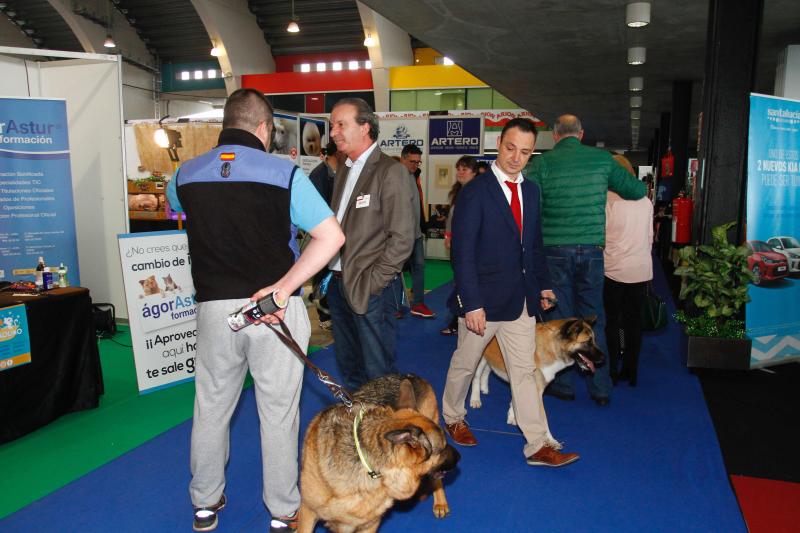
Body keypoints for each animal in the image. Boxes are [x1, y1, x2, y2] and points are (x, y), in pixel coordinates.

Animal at [298, 374, 462, 532]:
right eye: (443, 449)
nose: (460, 457)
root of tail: (412, 376)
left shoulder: (369, 525)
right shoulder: (307, 513)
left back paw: (440, 503)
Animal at [468, 320, 600, 444]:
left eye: (594, 340)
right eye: (588, 342)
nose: (603, 358)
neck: (551, 347)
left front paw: (512, 416)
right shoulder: (535, 391)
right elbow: (543, 420)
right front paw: (550, 440)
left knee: (487, 370)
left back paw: (484, 388)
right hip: (479, 356)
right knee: (476, 377)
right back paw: (475, 399)